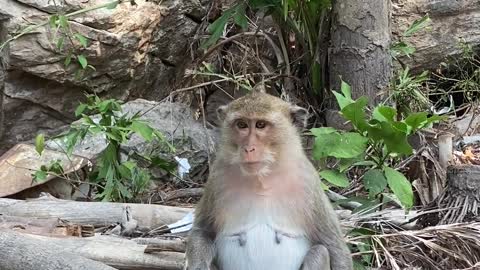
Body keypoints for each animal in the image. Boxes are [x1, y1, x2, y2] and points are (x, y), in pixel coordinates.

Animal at [186, 86, 354, 270]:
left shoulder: (309, 182)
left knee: (320, 251)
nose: (248, 148)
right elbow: (203, 232)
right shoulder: (217, 178)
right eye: (242, 125)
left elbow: (333, 245)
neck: (262, 179)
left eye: (260, 125)